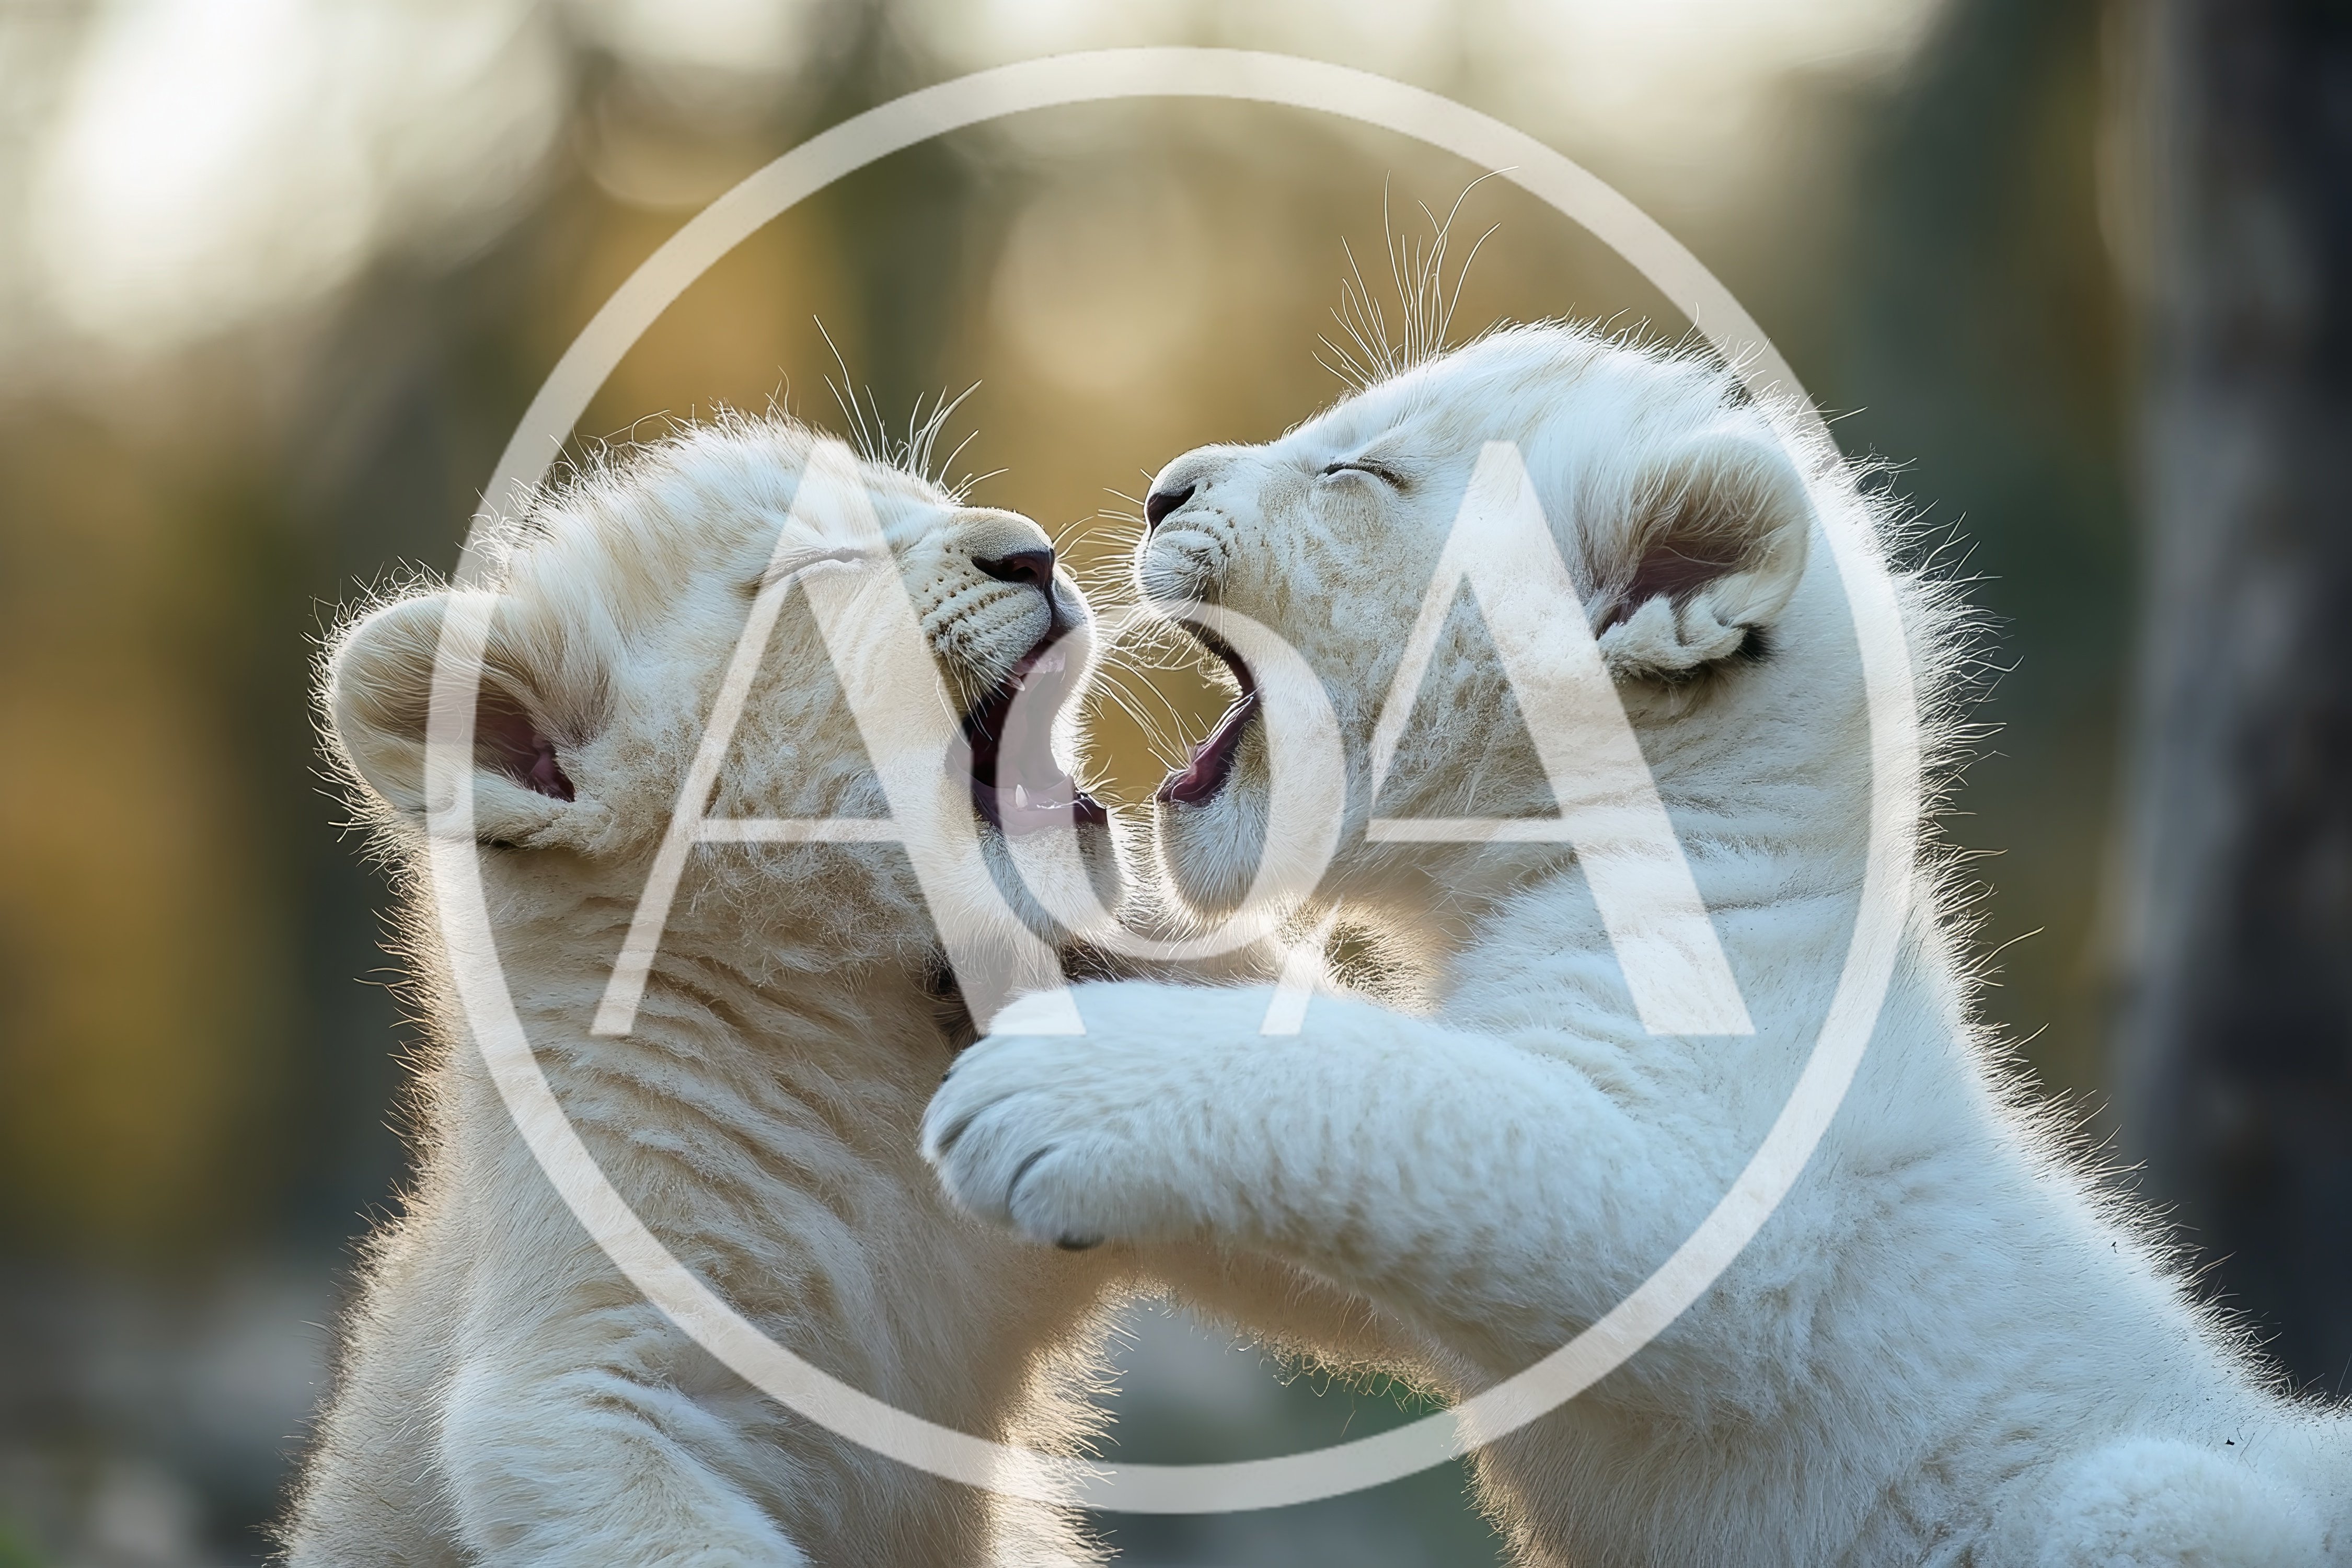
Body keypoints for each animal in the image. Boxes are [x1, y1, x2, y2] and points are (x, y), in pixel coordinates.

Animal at [924, 324, 2351, 1565]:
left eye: (1362, 473)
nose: (1160, 491)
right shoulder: (1424, 1286)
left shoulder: (1720, 1193)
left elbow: (1398, 1097)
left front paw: (1043, 1091)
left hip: (2145, 1496)